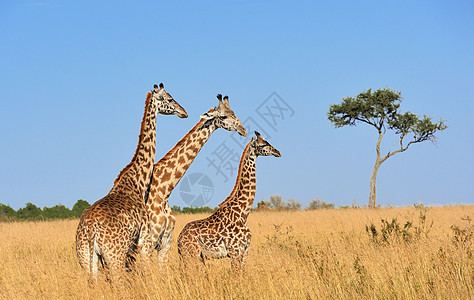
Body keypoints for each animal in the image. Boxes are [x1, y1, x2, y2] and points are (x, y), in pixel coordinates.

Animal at [75, 83, 188, 280]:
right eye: (169, 99)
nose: (184, 112)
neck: (137, 181)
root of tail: (90, 229)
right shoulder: (144, 238)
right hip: (115, 255)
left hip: (86, 257)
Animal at [145, 93, 248, 264]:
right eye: (223, 116)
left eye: (234, 113)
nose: (243, 130)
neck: (162, 190)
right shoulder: (147, 241)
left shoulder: (165, 241)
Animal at [178, 131, 282, 272]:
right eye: (262, 144)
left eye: (267, 141)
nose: (277, 152)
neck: (243, 213)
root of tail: (179, 238)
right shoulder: (235, 252)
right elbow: (235, 275)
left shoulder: (245, 251)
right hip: (190, 254)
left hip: (197, 257)